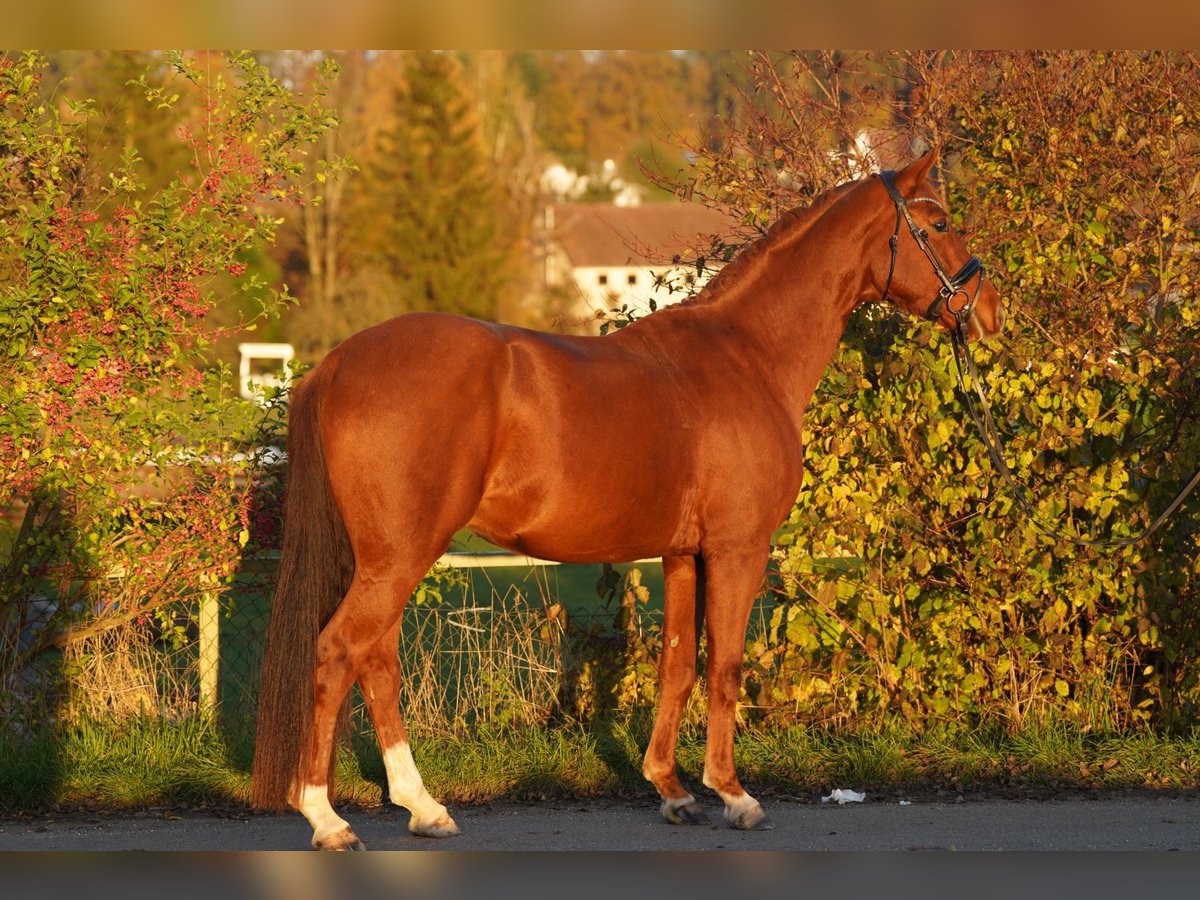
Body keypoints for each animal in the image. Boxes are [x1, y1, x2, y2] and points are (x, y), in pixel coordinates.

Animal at [250, 151, 1003, 849]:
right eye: (939, 224)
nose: (989, 311)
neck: (747, 355)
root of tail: (337, 362)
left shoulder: (681, 554)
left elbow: (677, 665)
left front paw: (672, 789)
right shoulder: (737, 549)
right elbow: (724, 666)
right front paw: (734, 794)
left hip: (389, 557)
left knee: (376, 660)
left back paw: (422, 806)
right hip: (401, 554)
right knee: (340, 651)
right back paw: (325, 817)